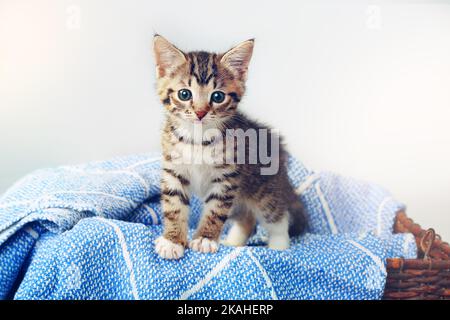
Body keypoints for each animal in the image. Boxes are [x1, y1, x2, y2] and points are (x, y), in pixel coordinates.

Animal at [154, 35, 306, 260]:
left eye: (217, 97)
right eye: (184, 94)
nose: (200, 113)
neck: (198, 139)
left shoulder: (227, 178)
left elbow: (216, 210)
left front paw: (205, 239)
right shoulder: (174, 171)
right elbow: (174, 206)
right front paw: (172, 241)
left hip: (264, 189)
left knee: (278, 216)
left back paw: (279, 246)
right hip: (240, 199)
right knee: (246, 219)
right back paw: (234, 242)